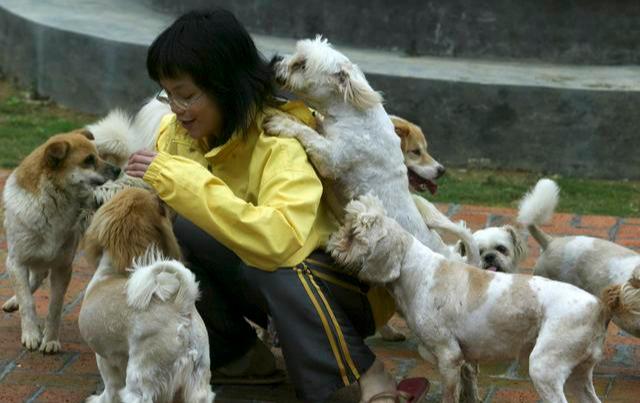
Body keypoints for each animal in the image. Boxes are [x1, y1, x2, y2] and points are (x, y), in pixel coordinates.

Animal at [2, 130, 120, 354]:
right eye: (88, 160)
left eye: (99, 155)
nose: (118, 170)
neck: (52, 203)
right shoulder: (16, 262)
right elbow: (27, 302)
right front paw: (31, 334)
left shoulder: (63, 267)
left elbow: (55, 306)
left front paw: (50, 340)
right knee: (28, 286)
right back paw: (15, 303)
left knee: (37, 277)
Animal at [79, 189, 215, 403]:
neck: (114, 271)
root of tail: (182, 307)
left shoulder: (105, 359)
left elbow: (110, 388)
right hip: (198, 383)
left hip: (141, 380)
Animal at [330, 194, 608, 402]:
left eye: (353, 235)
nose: (330, 242)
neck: (417, 271)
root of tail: (599, 307)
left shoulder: (449, 357)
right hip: (578, 377)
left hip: (544, 369)